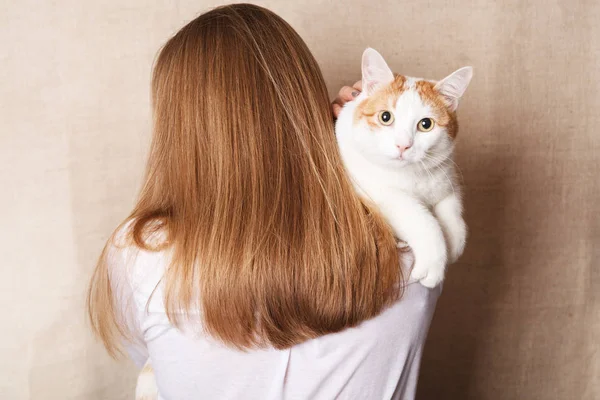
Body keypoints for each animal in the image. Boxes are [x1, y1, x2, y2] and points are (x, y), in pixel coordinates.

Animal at [336, 48, 472, 290]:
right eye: (385, 117)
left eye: (426, 124)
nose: (403, 145)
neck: (411, 175)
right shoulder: (376, 191)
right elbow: (420, 218)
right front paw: (434, 257)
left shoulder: (446, 174)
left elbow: (451, 205)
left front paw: (455, 238)